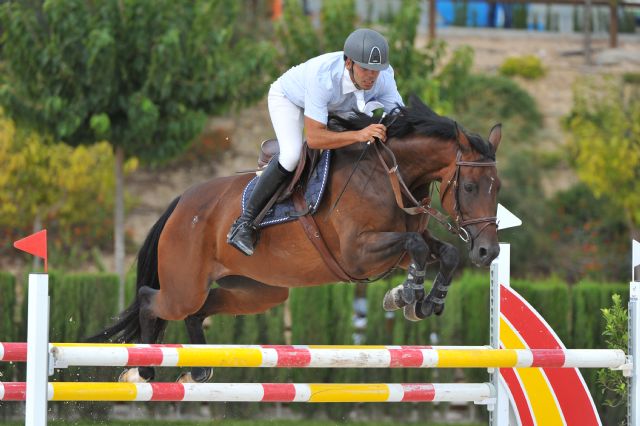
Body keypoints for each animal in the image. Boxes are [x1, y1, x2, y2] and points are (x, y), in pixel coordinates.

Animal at [90, 96, 502, 382]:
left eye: (496, 186)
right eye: (469, 186)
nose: (488, 251)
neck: (389, 176)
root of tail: (181, 203)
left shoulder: (399, 246)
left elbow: (445, 253)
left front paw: (426, 301)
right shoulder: (358, 253)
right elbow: (415, 248)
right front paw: (406, 296)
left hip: (260, 291)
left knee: (201, 309)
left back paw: (199, 369)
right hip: (185, 286)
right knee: (153, 300)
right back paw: (142, 370)